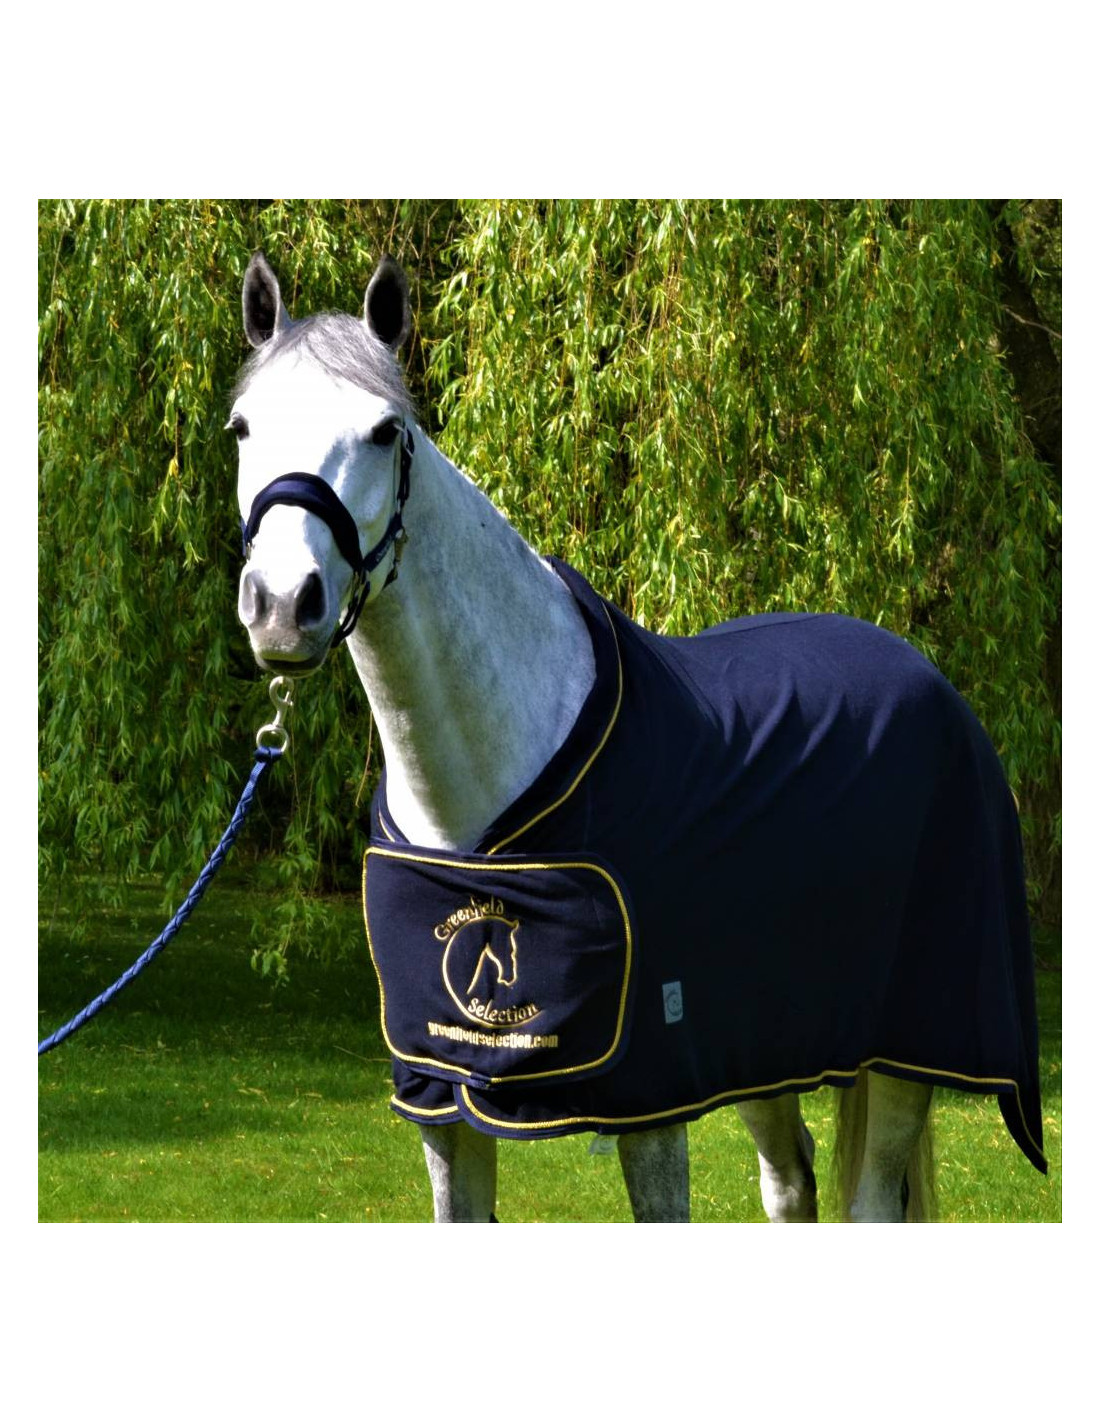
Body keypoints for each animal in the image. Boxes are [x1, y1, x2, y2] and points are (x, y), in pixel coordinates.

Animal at [230, 251, 1046, 1222]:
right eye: (241, 427)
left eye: (387, 432)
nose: (284, 605)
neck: (481, 797)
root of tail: (927, 677)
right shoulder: (445, 1102)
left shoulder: (650, 1107)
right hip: (763, 1044)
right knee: (791, 1181)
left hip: (905, 1051)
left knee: (871, 1201)